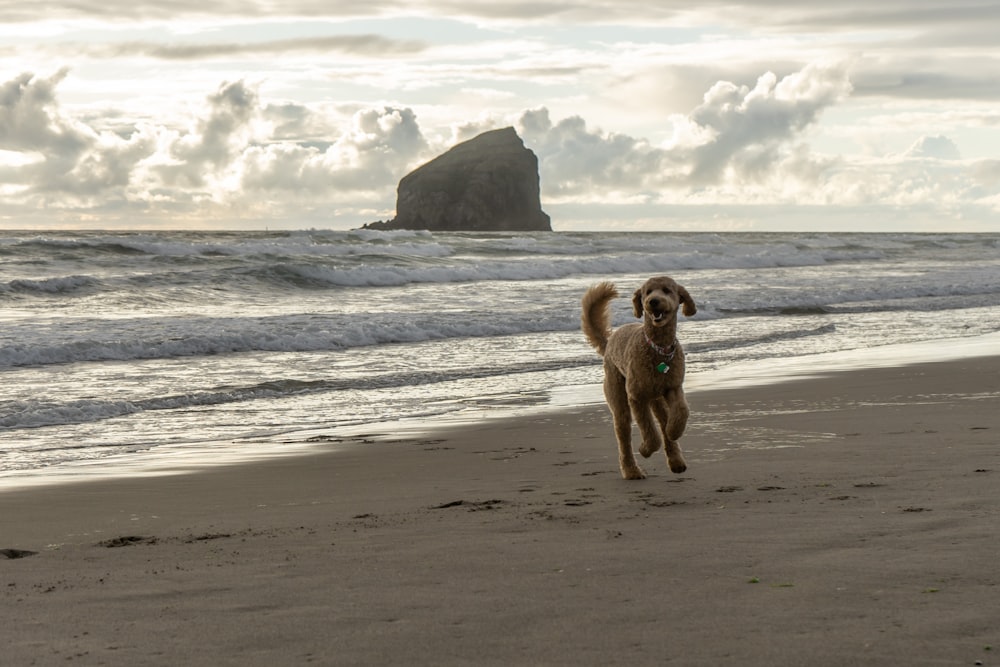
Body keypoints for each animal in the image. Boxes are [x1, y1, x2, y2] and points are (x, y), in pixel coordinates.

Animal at [584, 276, 700, 480]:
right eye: (648, 292)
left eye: (667, 290)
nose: (653, 301)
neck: (658, 348)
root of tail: (610, 342)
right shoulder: (636, 396)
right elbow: (650, 433)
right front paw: (645, 449)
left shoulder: (673, 387)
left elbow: (681, 411)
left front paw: (674, 431)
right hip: (620, 399)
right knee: (624, 438)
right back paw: (631, 470)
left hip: (656, 398)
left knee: (663, 420)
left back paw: (676, 460)